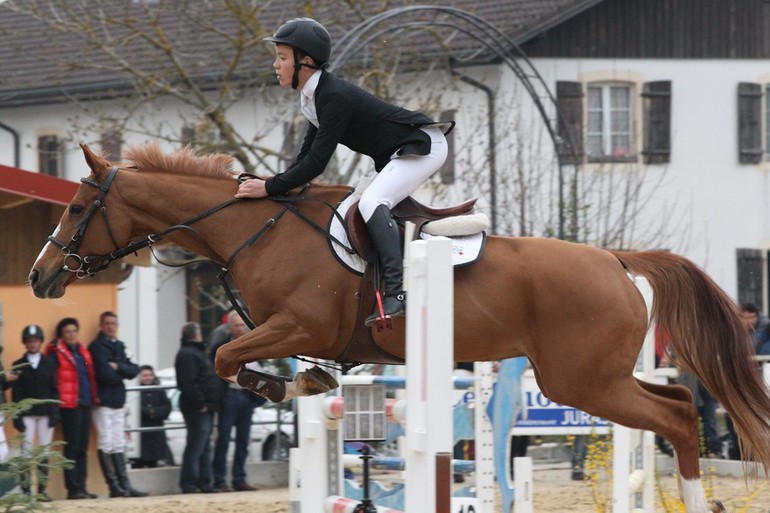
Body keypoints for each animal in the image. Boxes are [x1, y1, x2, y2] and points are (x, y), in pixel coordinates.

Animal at [28, 143, 768, 508]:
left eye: (76, 209)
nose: (39, 277)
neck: (255, 229)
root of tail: (617, 259)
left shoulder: (299, 326)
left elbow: (226, 359)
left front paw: (289, 388)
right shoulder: (292, 332)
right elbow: (231, 360)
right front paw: (306, 389)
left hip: (581, 380)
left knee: (674, 416)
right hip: (594, 377)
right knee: (680, 403)